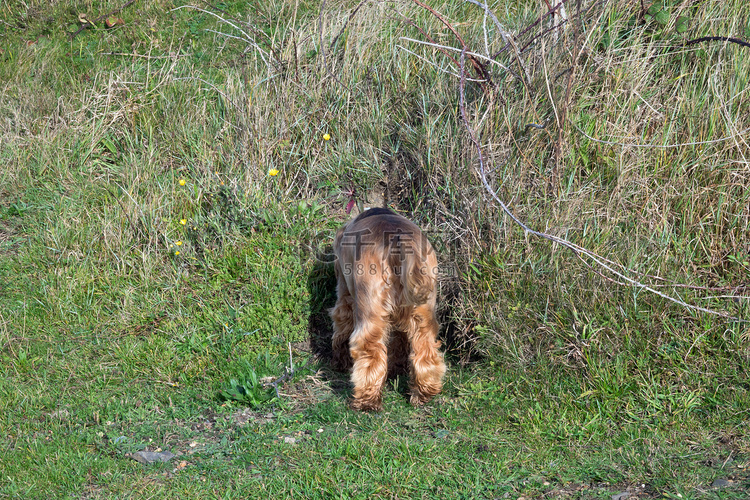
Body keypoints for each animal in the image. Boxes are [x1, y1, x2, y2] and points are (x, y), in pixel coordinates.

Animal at [330, 207, 446, 410]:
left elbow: (342, 326)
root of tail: (398, 239)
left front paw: (340, 360)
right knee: (426, 350)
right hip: (424, 308)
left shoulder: (344, 293)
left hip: (370, 306)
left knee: (369, 350)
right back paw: (423, 393)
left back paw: (366, 400)